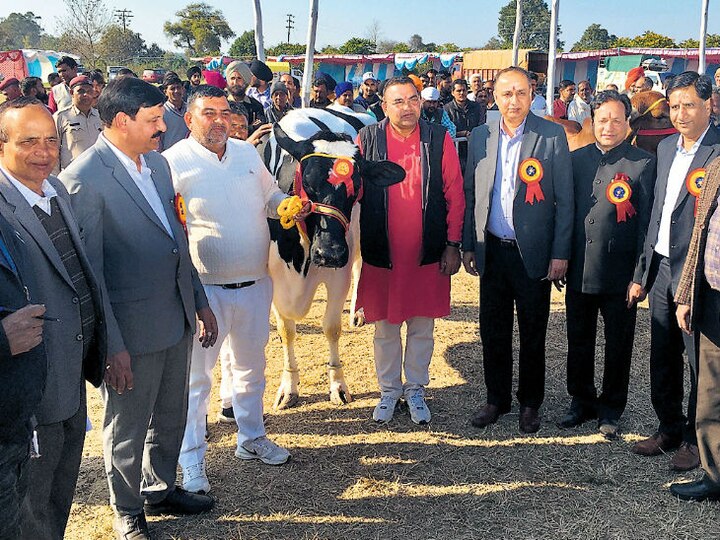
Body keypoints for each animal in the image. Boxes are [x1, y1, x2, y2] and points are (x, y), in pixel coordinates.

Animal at [268, 109, 404, 408]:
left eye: (357, 188)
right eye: (306, 183)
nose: (330, 253)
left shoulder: (338, 276)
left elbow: (331, 328)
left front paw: (337, 385)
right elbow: (286, 330)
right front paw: (288, 387)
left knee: (360, 268)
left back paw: (357, 313)